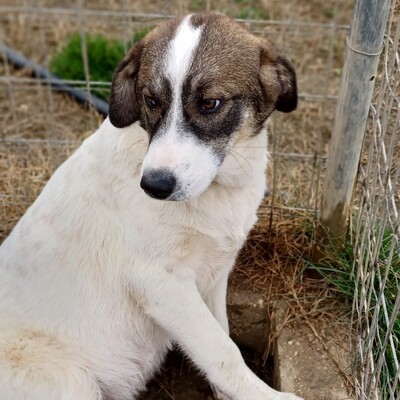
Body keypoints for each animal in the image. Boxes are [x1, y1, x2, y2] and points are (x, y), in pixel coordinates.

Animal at [0, 12, 302, 400]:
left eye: (210, 103)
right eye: (151, 100)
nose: (154, 186)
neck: (216, 191)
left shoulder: (214, 275)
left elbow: (222, 336)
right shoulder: (162, 283)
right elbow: (223, 353)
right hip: (71, 381)